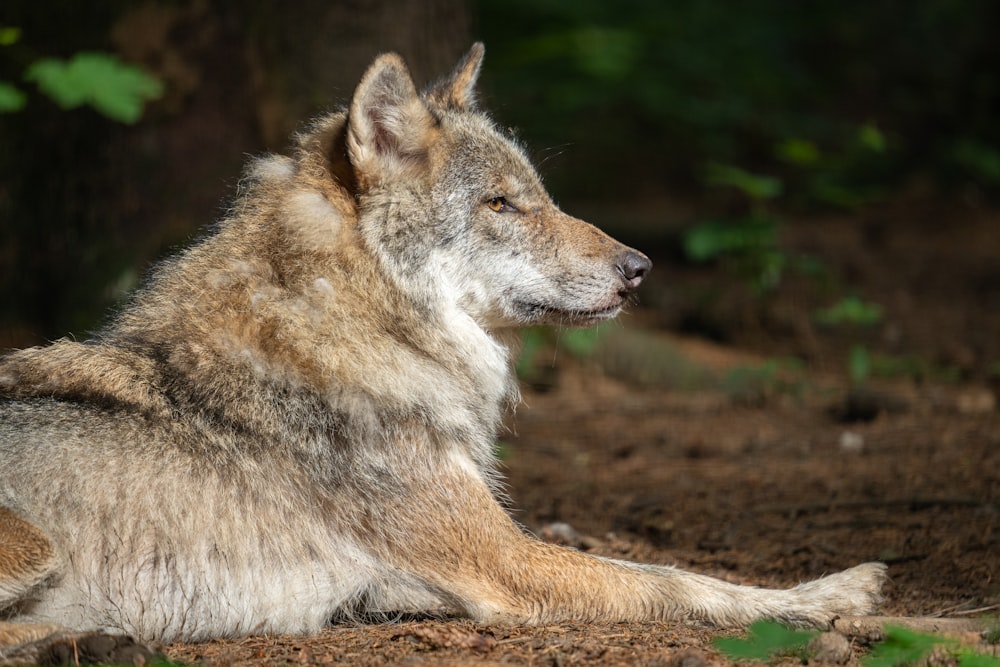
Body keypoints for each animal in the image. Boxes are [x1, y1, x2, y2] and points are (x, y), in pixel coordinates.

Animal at [0, 44, 884, 660]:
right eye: (500, 204)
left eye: (541, 196)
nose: (640, 268)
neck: (356, 331)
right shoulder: (506, 560)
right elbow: (681, 579)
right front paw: (833, 595)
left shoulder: (439, 573)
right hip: (37, 542)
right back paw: (84, 638)